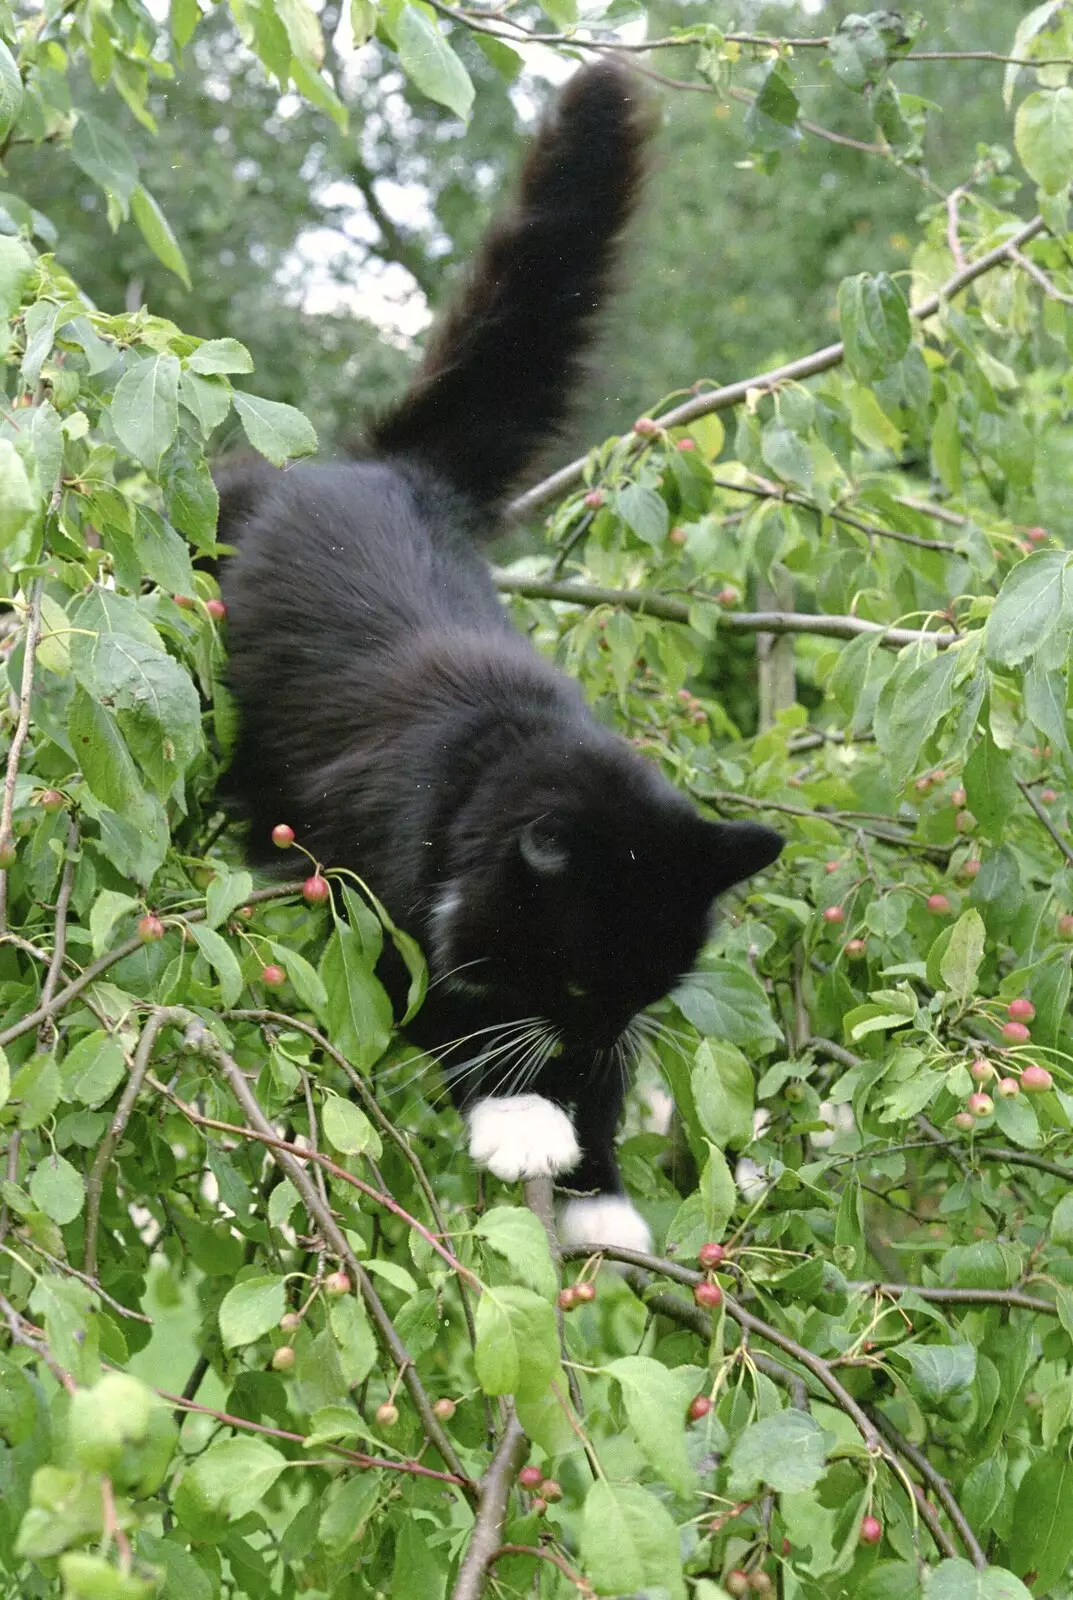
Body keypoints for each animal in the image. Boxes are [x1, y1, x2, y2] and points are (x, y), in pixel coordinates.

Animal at [215, 59, 780, 1248]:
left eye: (647, 991)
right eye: (572, 983)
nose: (592, 1032)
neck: (494, 758)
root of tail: (381, 467)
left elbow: (598, 1098)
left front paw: (598, 1198)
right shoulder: (366, 887)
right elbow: (439, 1006)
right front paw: (522, 1117)